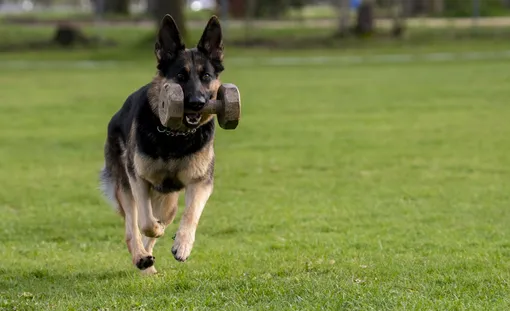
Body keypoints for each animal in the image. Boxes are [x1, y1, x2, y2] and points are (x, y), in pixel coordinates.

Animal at [99, 15, 225, 276]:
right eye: (181, 76)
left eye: (206, 76)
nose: (197, 103)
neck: (175, 137)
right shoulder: (138, 179)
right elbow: (146, 223)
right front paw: (155, 230)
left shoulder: (201, 183)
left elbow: (191, 214)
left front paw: (183, 244)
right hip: (125, 187)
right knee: (132, 229)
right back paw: (141, 258)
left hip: (168, 204)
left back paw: (148, 262)